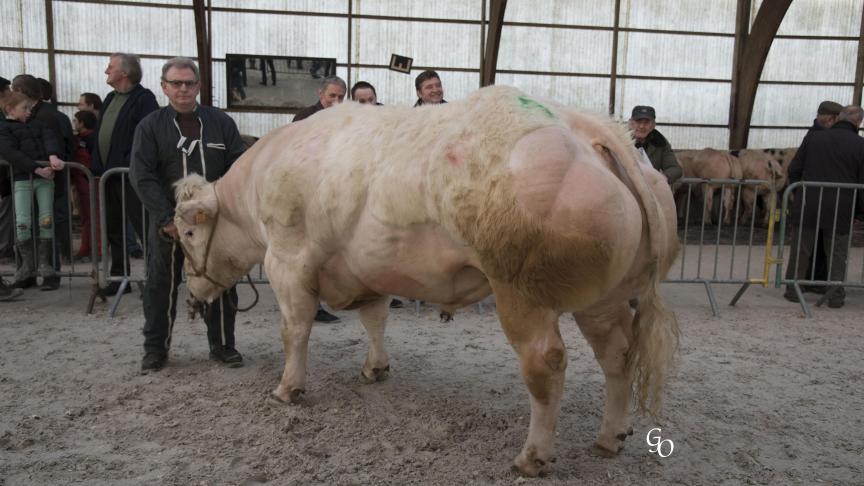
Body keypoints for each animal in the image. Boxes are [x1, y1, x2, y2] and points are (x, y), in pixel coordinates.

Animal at [172, 85, 680, 476]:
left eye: (187, 232)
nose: (193, 295)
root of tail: (589, 129)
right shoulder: (368, 267)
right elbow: (375, 320)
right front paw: (374, 368)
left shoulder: (289, 262)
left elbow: (294, 330)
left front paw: (287, 389)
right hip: (605, 298)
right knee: (617, 354)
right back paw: (610, 436)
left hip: (521, 292)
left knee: (546, 365)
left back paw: (532, 457)